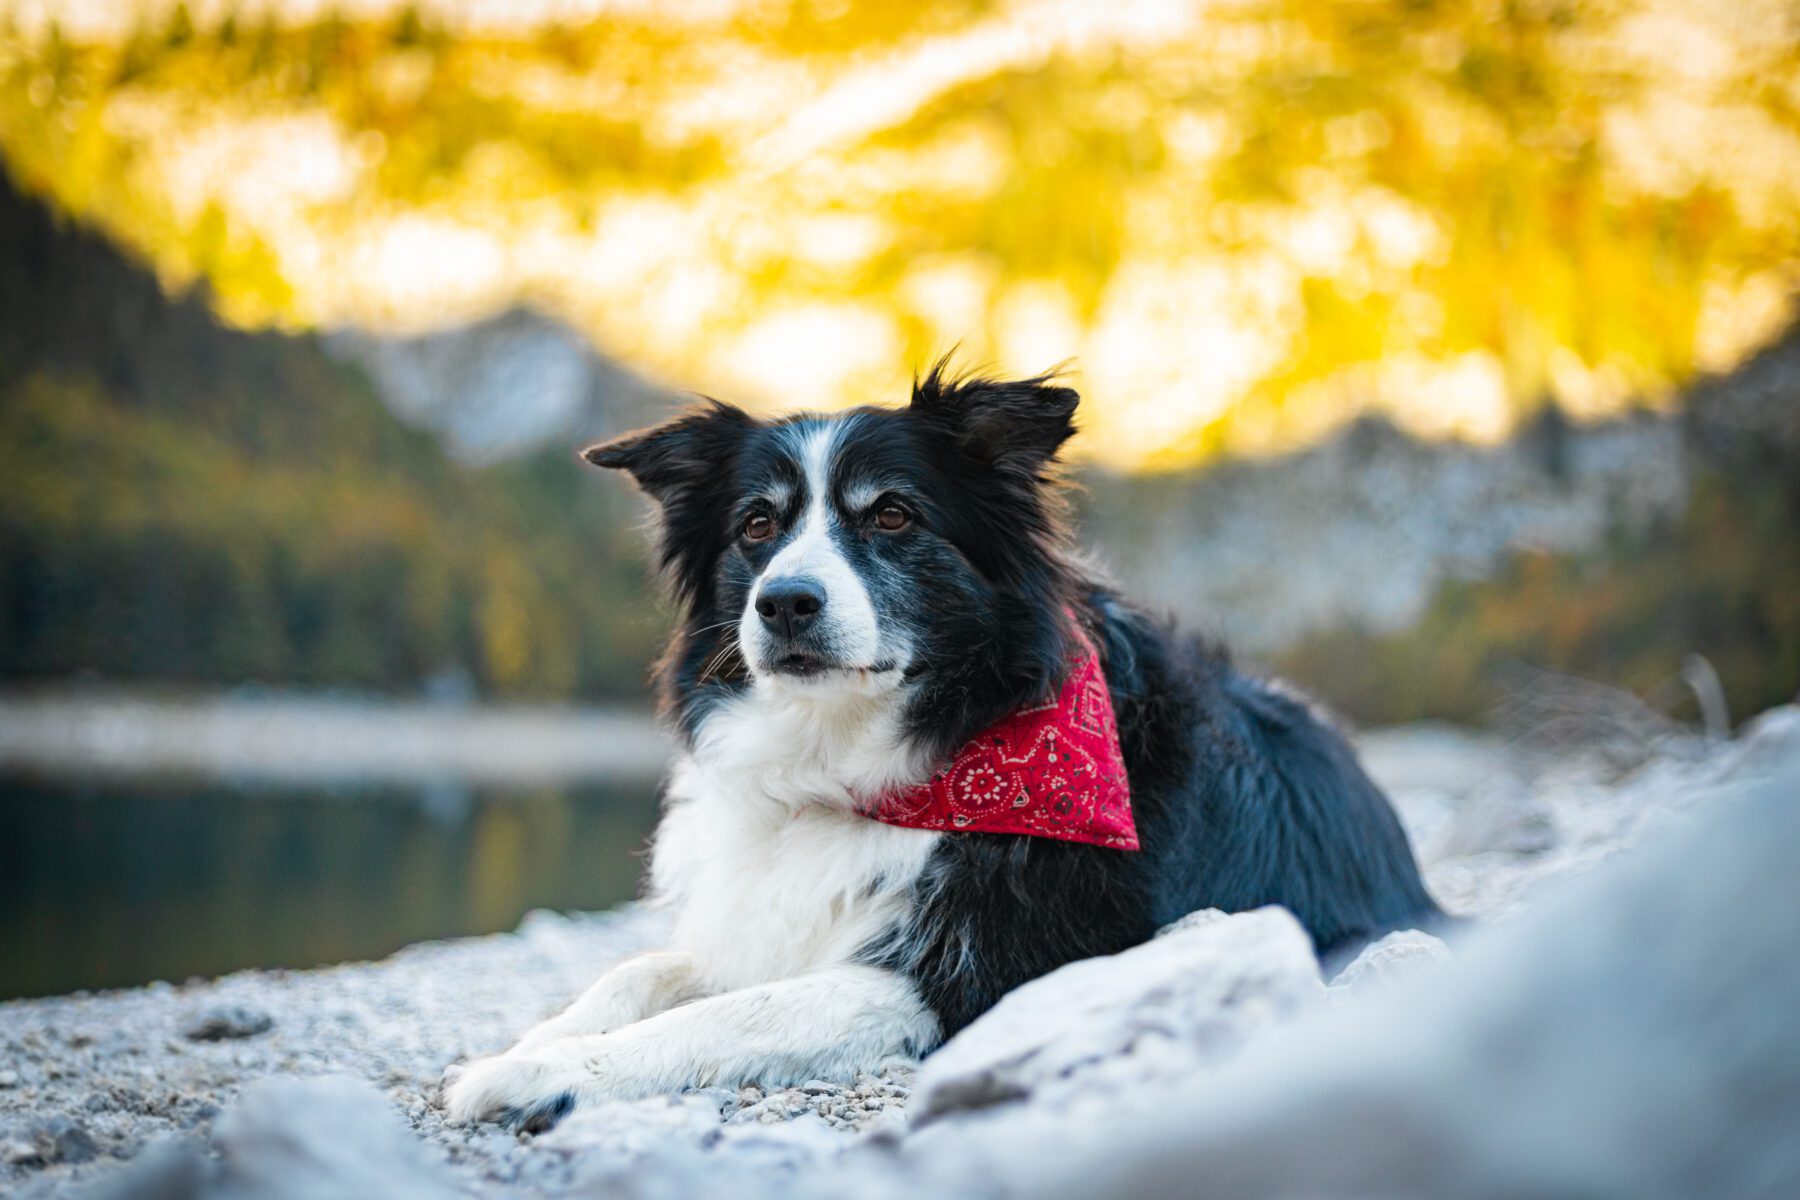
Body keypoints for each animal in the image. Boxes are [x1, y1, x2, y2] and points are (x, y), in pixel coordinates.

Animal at [442, 367, 1440, 1137]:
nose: (785, 603)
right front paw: (535, 1042)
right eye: (757, 527)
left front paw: (542, 1073)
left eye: (892, 515)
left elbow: (737, 1011)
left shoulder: (976, 974)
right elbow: (644, 967)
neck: (864, 761)